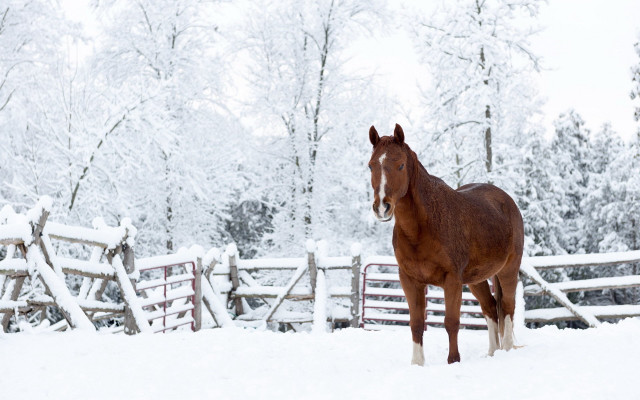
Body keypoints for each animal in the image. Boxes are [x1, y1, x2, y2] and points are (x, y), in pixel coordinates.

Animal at [367, 123, 524, 365]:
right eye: (371, 166)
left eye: (400, 165)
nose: (382, 207)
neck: (422, 227)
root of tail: (506, 200)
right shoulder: (410, 280)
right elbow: (416, 324)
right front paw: (417, 363)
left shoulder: (452, 280)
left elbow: (451, 322)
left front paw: (453, 361)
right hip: (476, 279)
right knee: (490, 308)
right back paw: (492, 352)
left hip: (508, 269)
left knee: (507, 307)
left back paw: (505, 351)